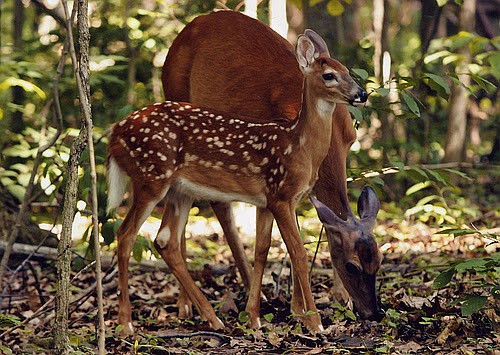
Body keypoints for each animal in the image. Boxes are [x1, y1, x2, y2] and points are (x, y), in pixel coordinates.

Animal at [108, 30, 368, 334]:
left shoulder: (271, 200)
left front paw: (254, 317)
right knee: (126, 235)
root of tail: (115, 133)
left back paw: (212, 317)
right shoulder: (280, 194)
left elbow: (261, 249)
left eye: (347, 70)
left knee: (164, 240)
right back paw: (126, 323)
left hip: (178, 189)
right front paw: (315, 323)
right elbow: (298, 254)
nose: (361, 94)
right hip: (150, 177)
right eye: (329, 75)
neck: (298, 146)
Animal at [162, 9, 380, 326]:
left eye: (378, 260)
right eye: (352, 266)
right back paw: (186, 305)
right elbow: (294, 241)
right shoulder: (281, 170)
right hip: (178, 100)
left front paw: (336, 300)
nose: (372, 312)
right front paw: (302, 310)